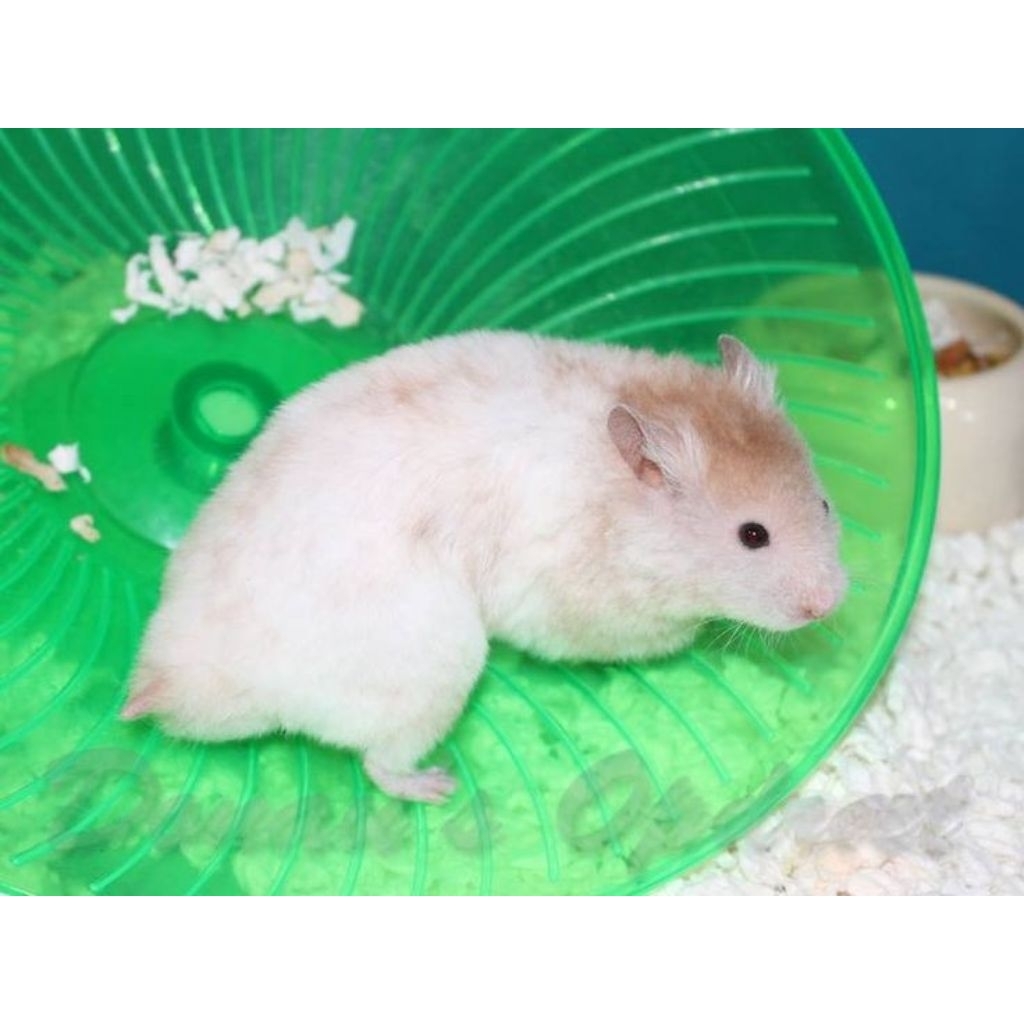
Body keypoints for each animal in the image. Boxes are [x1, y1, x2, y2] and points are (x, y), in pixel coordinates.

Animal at [122, 331, 847, 803]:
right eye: (752, 535)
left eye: (824, 501)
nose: (829, 605)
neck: (619, 512)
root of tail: (168, 685)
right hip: (437, 668)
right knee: (380, 764)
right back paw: (440, 787)